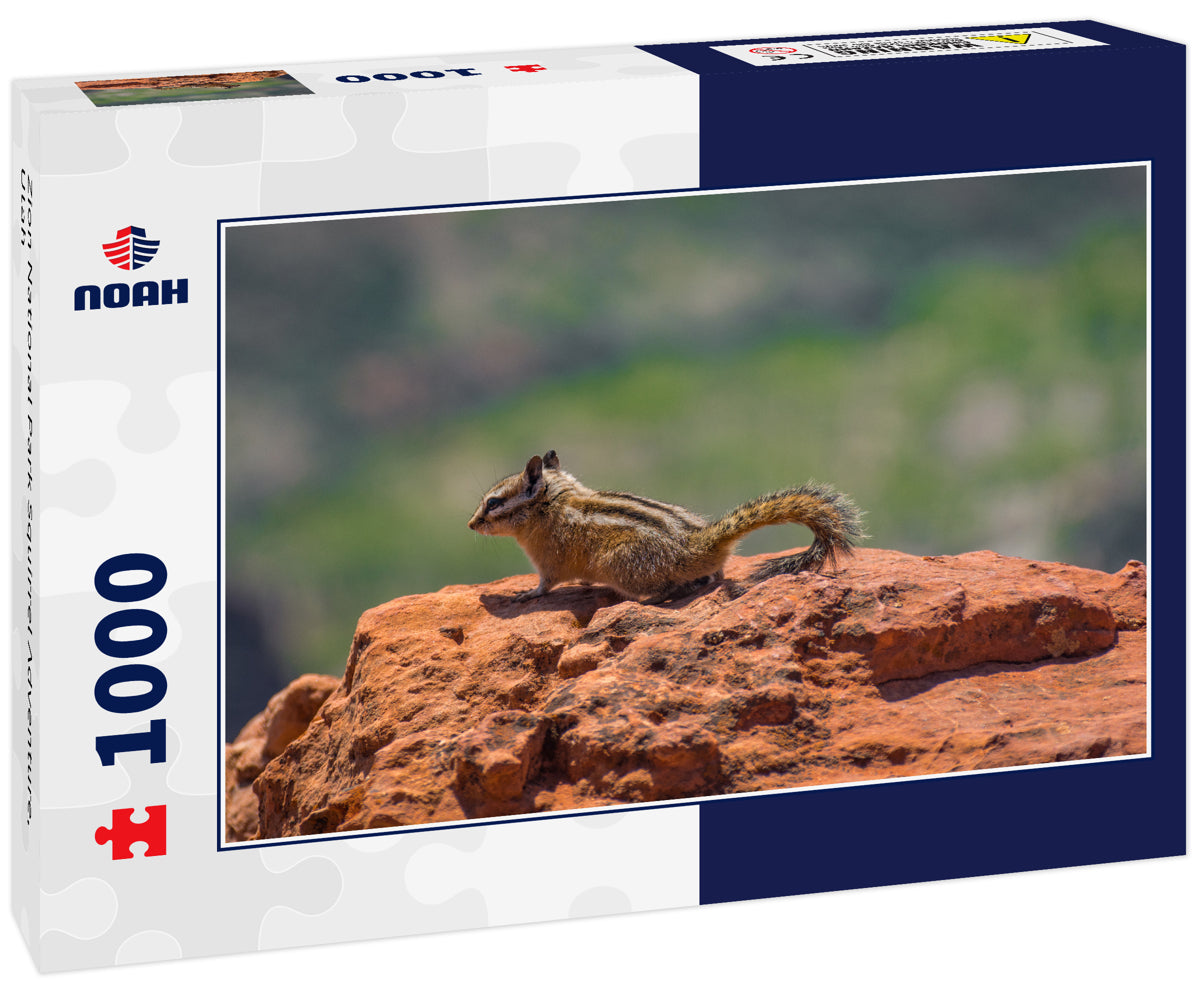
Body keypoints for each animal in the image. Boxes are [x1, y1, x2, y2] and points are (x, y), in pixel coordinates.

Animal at [468, 450, 864, 603]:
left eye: (493, 502)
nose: (471, 524)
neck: (556, 504)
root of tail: (698, 543)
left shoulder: (548, 562)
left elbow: (545, 585)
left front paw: (524, 594)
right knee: (711, 578)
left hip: (620, 564)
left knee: (666, 590)